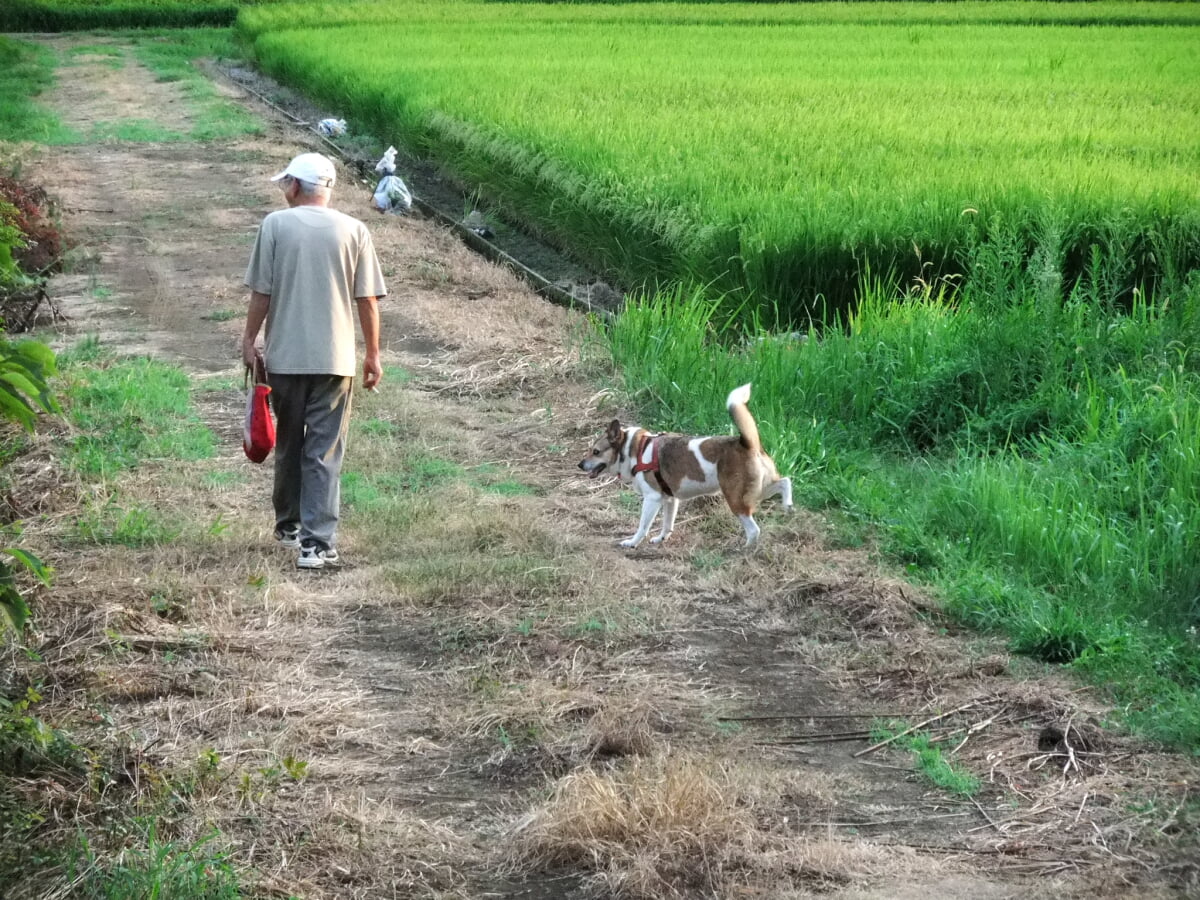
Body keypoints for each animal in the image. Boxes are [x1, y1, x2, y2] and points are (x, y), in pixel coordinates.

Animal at [578, 381, 792, 549]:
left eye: (596, 452)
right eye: (590, 450)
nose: (580, 464)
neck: (635, 450)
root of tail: (746, 442)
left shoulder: (652, 499)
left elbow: (643, 526)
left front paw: (632, 542)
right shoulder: (670, 500)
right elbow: (667, 524)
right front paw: (661, 539)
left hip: (736, 499)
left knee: (754, 530)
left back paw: (745, 549)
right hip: (758, 489)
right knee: (785, 481)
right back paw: (788, 504)